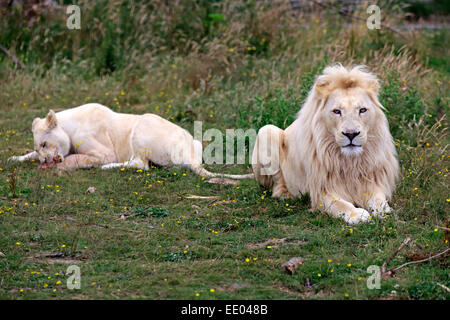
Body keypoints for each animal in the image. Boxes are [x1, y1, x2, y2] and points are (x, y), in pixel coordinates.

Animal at [9, 103, 253, 180]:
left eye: (44, 144)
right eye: (38, 147)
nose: (43, 162)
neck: (68, 128)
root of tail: (189, 155)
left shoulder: (104, 152)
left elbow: (77, 159)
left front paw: (61, 167)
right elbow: (26, 156)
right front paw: (14, 158)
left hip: (143, 124)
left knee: (140, 165)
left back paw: (108, 168)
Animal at [251, 65, 400, 224]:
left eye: (362, 110)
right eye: (337, 111)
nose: (351, 134)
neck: (350, 163)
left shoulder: (373, 182)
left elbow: (378, 199)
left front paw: (384, 210)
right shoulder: (320, 192)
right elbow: (340, 204)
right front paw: (358, 215)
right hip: (266, 131)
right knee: (277, 185)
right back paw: (286, 195)